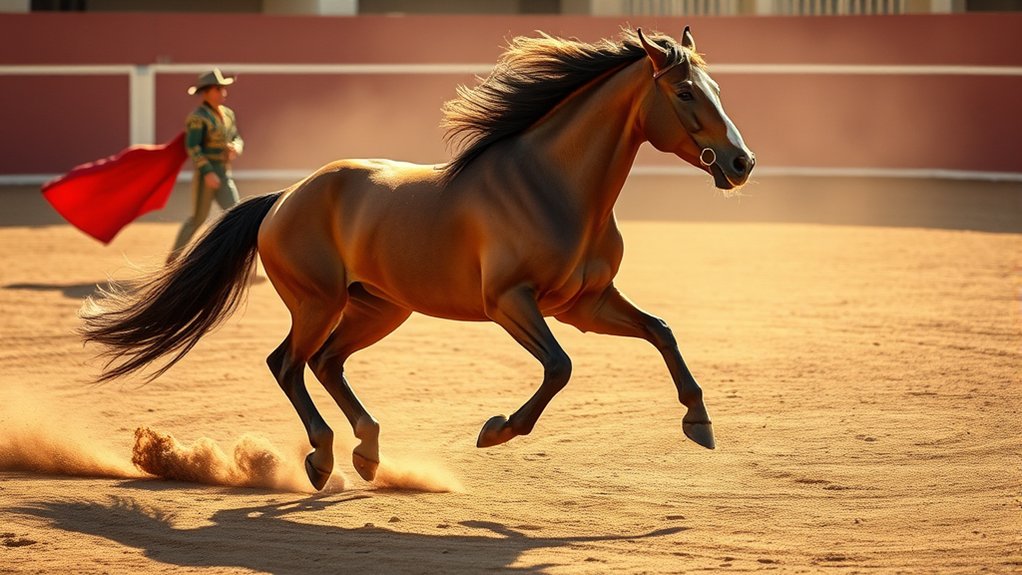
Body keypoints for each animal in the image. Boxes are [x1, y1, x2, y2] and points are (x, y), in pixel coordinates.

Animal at [81, 27, 755, 490]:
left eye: (720, 89)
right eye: (686, 91)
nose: (741, 162)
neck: (554, 185)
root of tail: (284, 198)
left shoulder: (585, 304)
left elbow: (661, 331)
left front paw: (700, 424)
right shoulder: (510, 303)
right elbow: (560, 368)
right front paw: (495, 431)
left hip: (379, 310)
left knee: (326, 364)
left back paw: (366, 453)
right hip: (318, 303)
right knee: (288, 363)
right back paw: (323, 457)